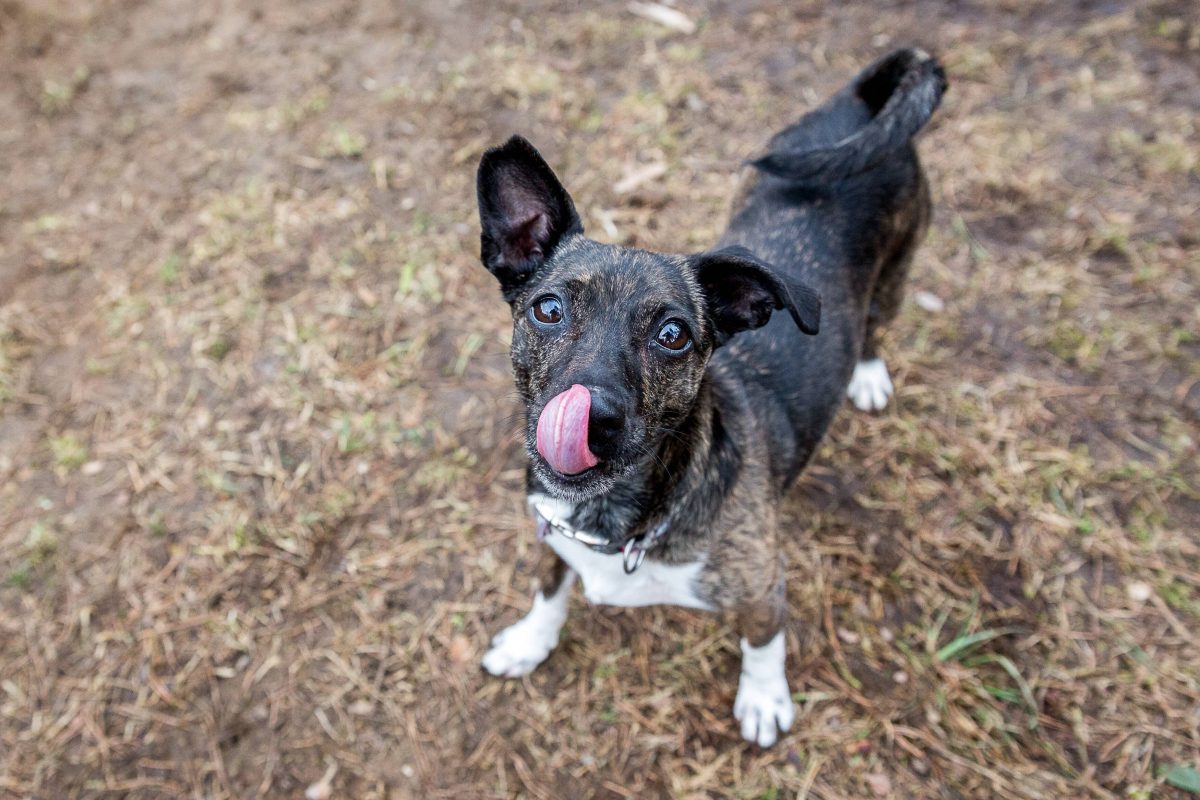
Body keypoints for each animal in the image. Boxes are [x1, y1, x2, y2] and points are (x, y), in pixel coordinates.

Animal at [477, 51, 945, 753]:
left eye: (673, 335)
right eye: (548, 309)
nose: (593, 419)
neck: (619, 520)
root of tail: (862, 103)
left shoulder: (762, 587)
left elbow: (764, 642)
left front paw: (764, 698)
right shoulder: (549, 535)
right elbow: (548, 588)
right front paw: (531, 640)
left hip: (894, 273)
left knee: (875, 325)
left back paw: (865, 374)